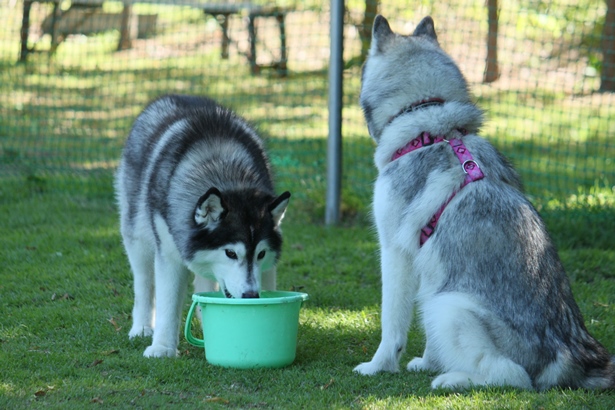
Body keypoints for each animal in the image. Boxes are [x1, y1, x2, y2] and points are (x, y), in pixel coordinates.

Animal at [116, 94, 292, 358]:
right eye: (231, 253)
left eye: (260, 254)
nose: (251, 295)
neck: (224, 172)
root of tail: (173, 96)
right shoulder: (168, 252)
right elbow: (167, 302)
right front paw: (162, 347)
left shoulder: (268, 263)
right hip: (137, 236)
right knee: (144, 282)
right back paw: (142, 326)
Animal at [352, 14, 615, 390]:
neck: (426, 125)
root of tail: (572, 358)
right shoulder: (431, 267)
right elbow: (424, 324)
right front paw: (429, 361)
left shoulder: (396, 254)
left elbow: (392, 326)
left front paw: (379, 366)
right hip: (445, 299)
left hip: (451, 306)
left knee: (512, 376)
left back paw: (452, 379)